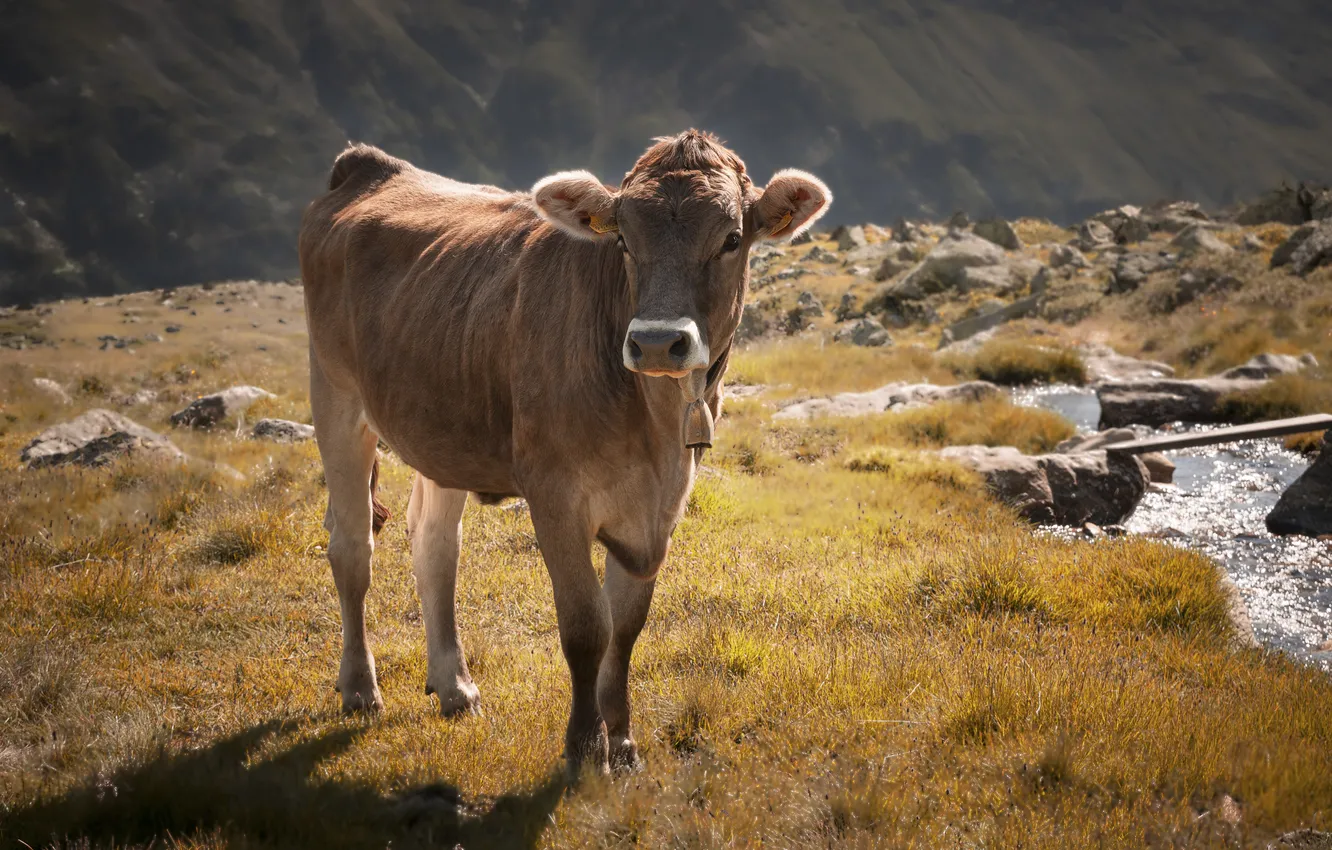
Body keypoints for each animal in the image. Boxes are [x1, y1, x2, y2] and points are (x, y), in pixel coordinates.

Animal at [298, 130, 830, 775]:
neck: (651, 427)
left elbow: (626, 627)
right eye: (623, 238)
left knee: (434, 545)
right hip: (336, 396)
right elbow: (585, 626)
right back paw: (359, 688)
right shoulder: (554, 494)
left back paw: (454, 686)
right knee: (352, 546)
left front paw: (622, 743)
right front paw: (583, 745)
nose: (657, 342)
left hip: (439, 424)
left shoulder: (659, 509)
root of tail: (368, 165)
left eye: (732, 239)